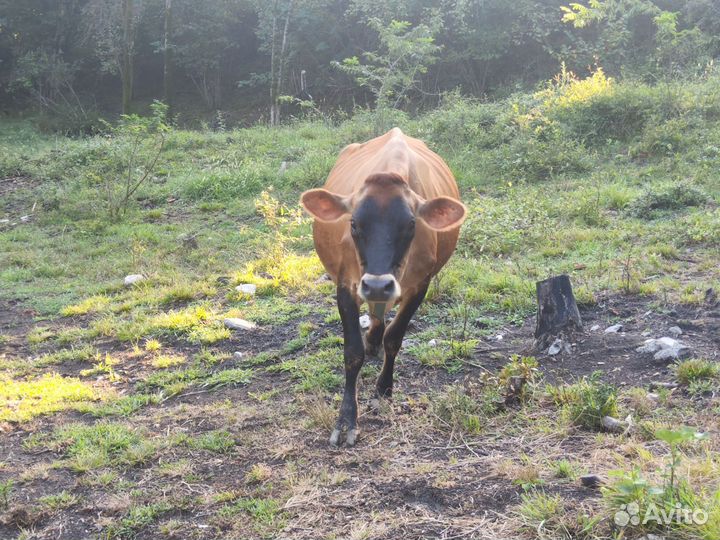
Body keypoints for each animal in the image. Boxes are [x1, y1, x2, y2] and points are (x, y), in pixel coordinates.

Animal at [300, 127, 466, 446]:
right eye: (354, 223)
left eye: (411, 224)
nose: (378, 284)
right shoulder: (347, 284)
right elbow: (352, 352)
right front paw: (346, 420)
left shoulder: (419, 284)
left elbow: (395, 337)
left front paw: (383, 390)